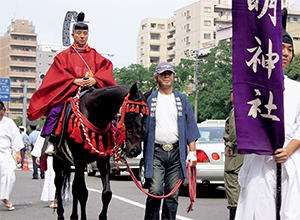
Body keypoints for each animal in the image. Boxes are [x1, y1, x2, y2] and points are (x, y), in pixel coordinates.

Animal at [52, 83, 151, 219]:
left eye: (145, 116)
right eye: (130, 114)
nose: (135, 150)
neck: (95, 116)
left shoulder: (103, 160)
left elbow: (106, 193)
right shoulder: (79, 160)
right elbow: (82, 192)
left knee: (73, 186)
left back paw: (73, 215)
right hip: (58, 158)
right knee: (59, 183)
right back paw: (61, 214)